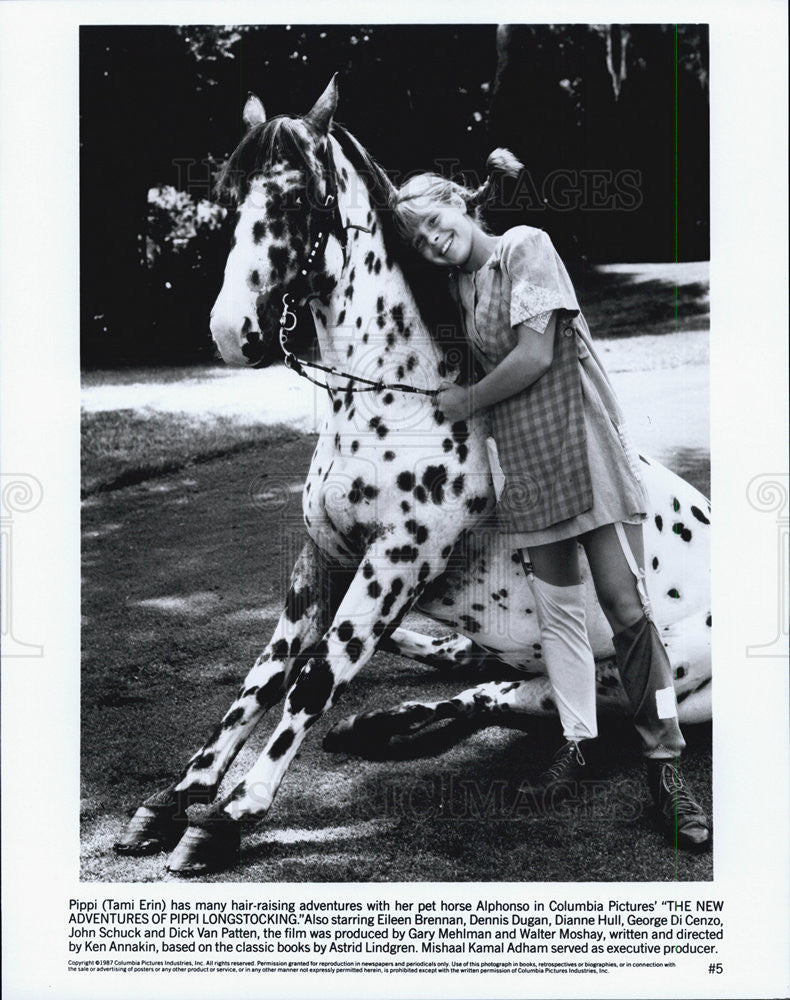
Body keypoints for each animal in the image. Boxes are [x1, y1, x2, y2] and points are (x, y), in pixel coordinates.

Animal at [114, 76, 716, 876]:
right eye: (230, 194)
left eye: (297, 199)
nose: (231, 332)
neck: (393, 399)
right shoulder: (322, 562)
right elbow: (263, 678)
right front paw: (171, 801)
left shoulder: (395, 563)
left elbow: (315, 675)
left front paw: (228, 817)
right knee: (486, 680)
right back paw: (381, 722)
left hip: (644, 679)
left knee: (530, 699)